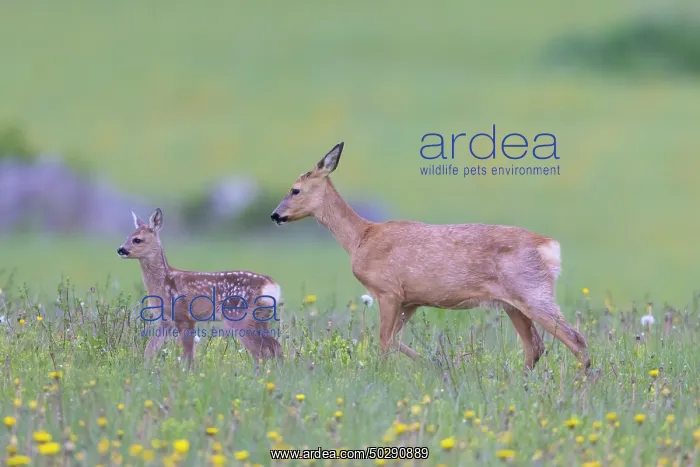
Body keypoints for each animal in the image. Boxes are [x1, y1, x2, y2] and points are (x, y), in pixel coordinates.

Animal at [117, 208, 283, 368]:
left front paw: (186, 373)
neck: (163, 282)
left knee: (260, 352)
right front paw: (145, 371)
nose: (121, 250)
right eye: (127, 236)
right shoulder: (165, 320)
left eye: (137, 239)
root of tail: (271, 285)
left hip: (239, 316)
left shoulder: (184, 315)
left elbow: (188, 355)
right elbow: (149, 350)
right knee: (274, 346)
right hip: (261, 317)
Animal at [270, 142, 591, 374]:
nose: (275, 215)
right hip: (512, 303)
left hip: (532, 291)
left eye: (295, 190)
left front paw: (385, 374)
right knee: (535, 347)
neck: (361, 238)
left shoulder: (388, 290)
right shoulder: (410, 299)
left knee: (575, 339)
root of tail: (549, 246)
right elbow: (393, 340)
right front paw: (434, 364)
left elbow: (383, 341)